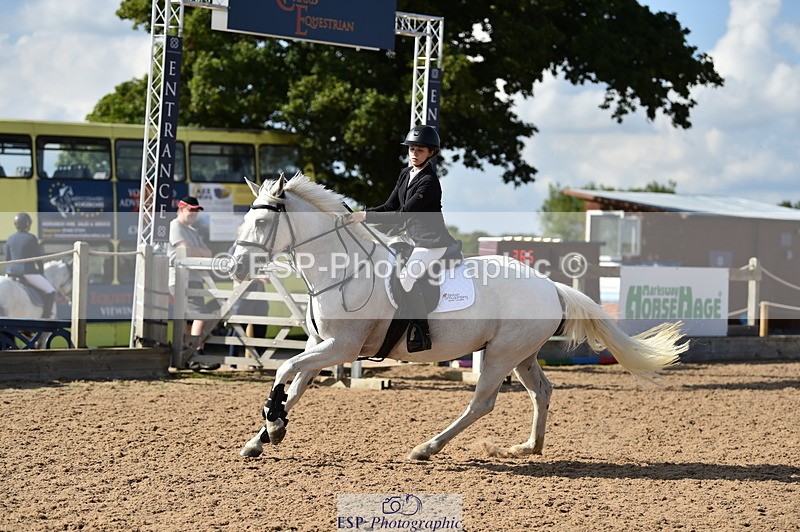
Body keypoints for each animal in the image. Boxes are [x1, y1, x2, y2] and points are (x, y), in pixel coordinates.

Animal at [230, 173, 688, 461]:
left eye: (262, 222)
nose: (234, 268)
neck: (343, 269)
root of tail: (551, 286)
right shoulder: (320, 345)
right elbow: (294, 385)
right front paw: (264, 435)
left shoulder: (340, 347)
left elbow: (284, 369)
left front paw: (273, 426)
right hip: (521, 354)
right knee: (541, 391)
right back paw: (528, 447)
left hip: (500, 355)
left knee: (482, 402)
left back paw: (426, 448)